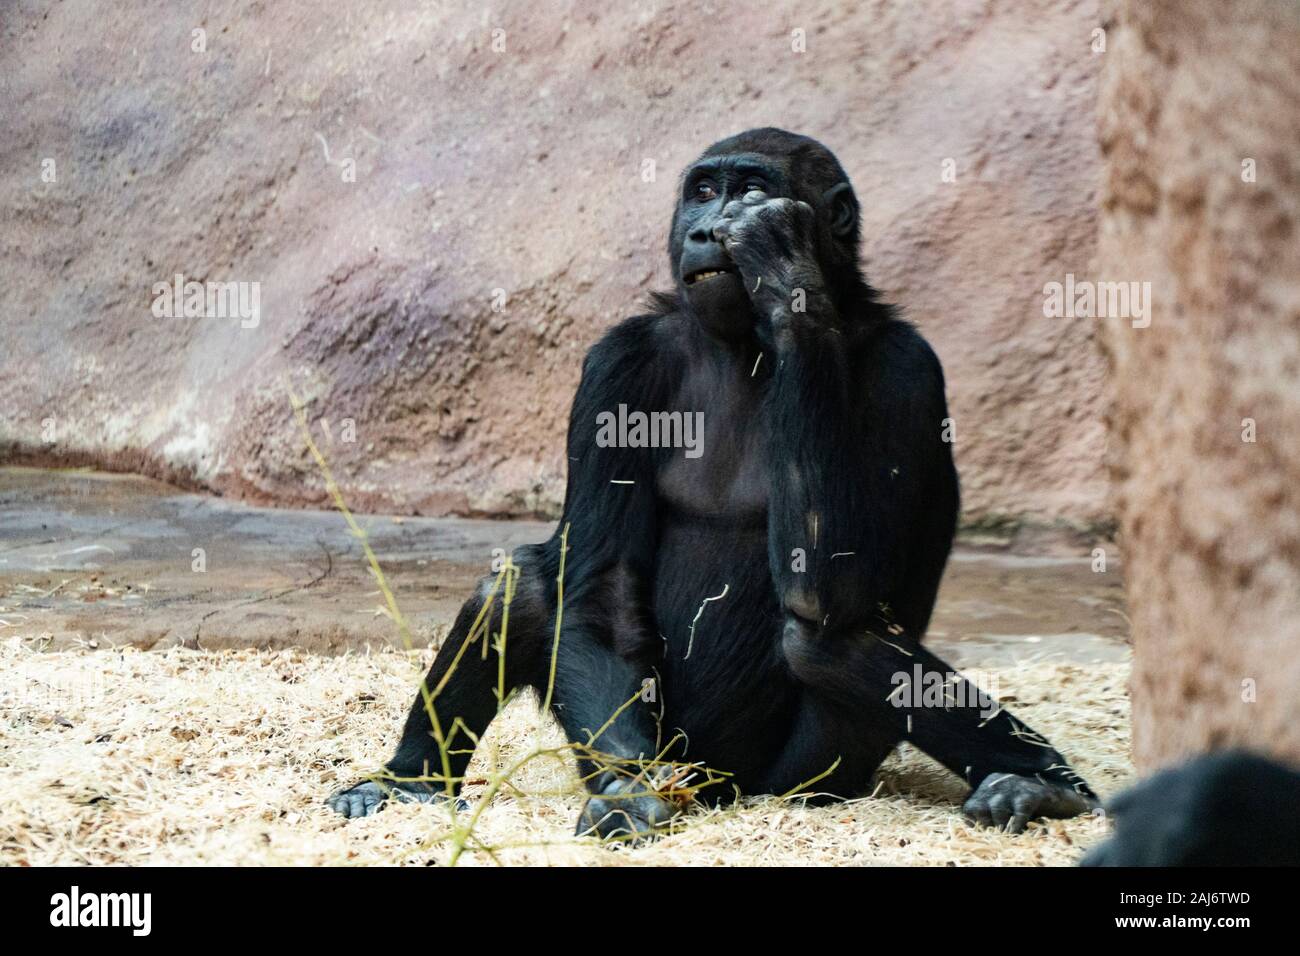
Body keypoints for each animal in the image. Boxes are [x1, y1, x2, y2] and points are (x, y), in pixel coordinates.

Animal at [325, 130, 1097, 842]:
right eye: (700, 193)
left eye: (749, 189)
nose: (704, 229)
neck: (745, 343)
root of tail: (720, 787)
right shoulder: (618, 362)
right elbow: (602, 583)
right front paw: (633, 799)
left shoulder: (910, 371)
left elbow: (836, 589)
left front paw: (785, 269)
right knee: (519, 585)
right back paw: (409, 782)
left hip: (803, 780)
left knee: (821, 640)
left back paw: (1042, 785)